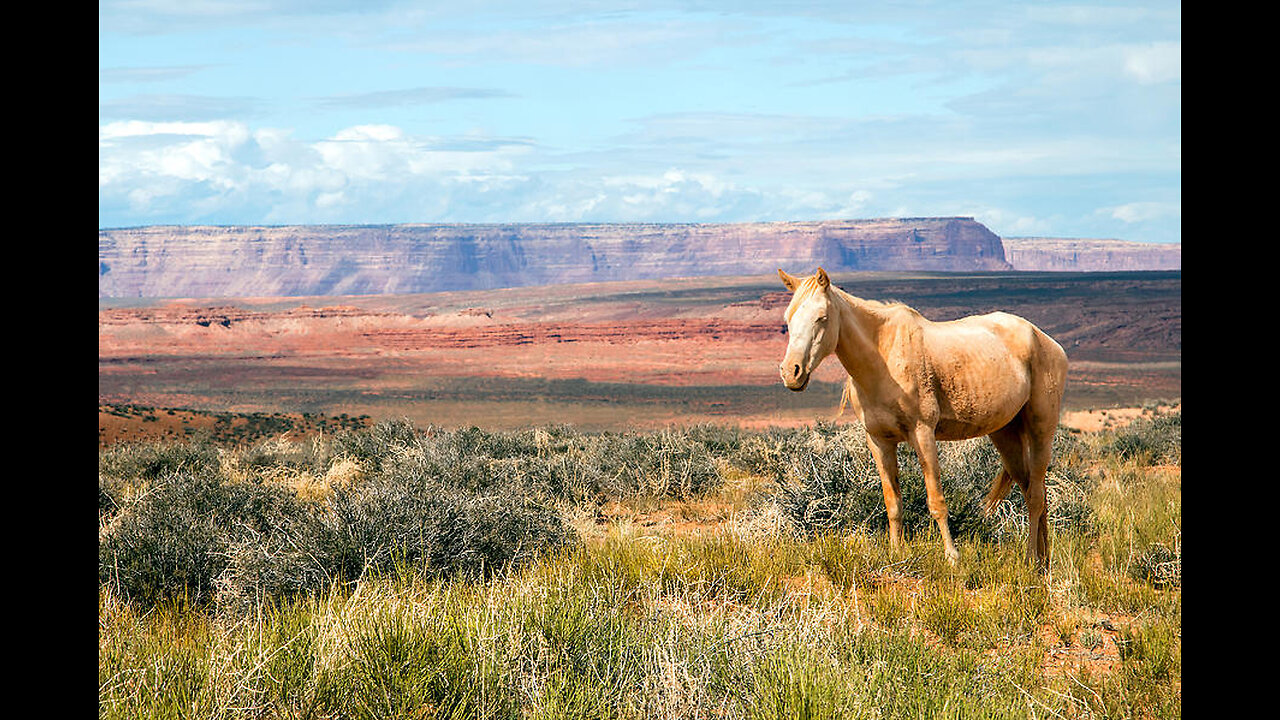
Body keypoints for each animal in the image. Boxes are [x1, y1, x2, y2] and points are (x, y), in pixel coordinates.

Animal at [776, 268, 1068, 569]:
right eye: (788, 318)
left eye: (821, 317)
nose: (791, 372)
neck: (883, 357)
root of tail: (1047, 340)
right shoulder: (879, 441)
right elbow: (893, 502)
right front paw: (896, 553)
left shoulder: (922, 433)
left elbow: (936, 501)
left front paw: (952, 557)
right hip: (1005, 434)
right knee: (1035, 490)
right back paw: (1044, 559)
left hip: (1041, 429)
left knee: (1035, 496)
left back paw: (1031, 559)